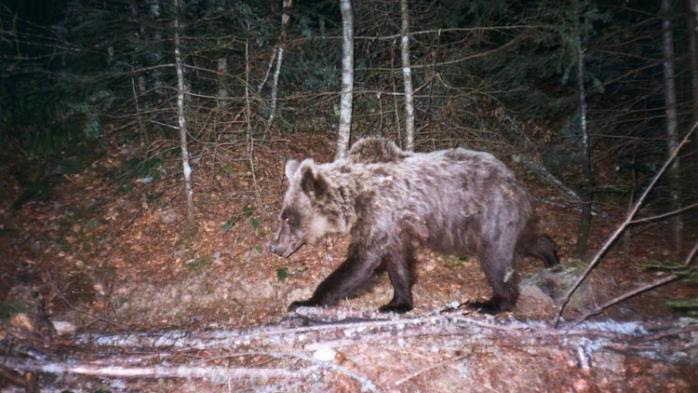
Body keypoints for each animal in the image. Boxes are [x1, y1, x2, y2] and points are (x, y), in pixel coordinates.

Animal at [270, 137, 556, 312]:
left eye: (287, 217)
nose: (274, 246)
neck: (354, 201)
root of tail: (515, 182)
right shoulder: (393, 227)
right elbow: (397, 264)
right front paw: (397, 302)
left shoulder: (378, 214)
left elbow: (361, 262)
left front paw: (304, 301)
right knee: (524, 239)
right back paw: (552, 256)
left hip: (490, 215)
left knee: (496, 259)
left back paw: (489, 303)